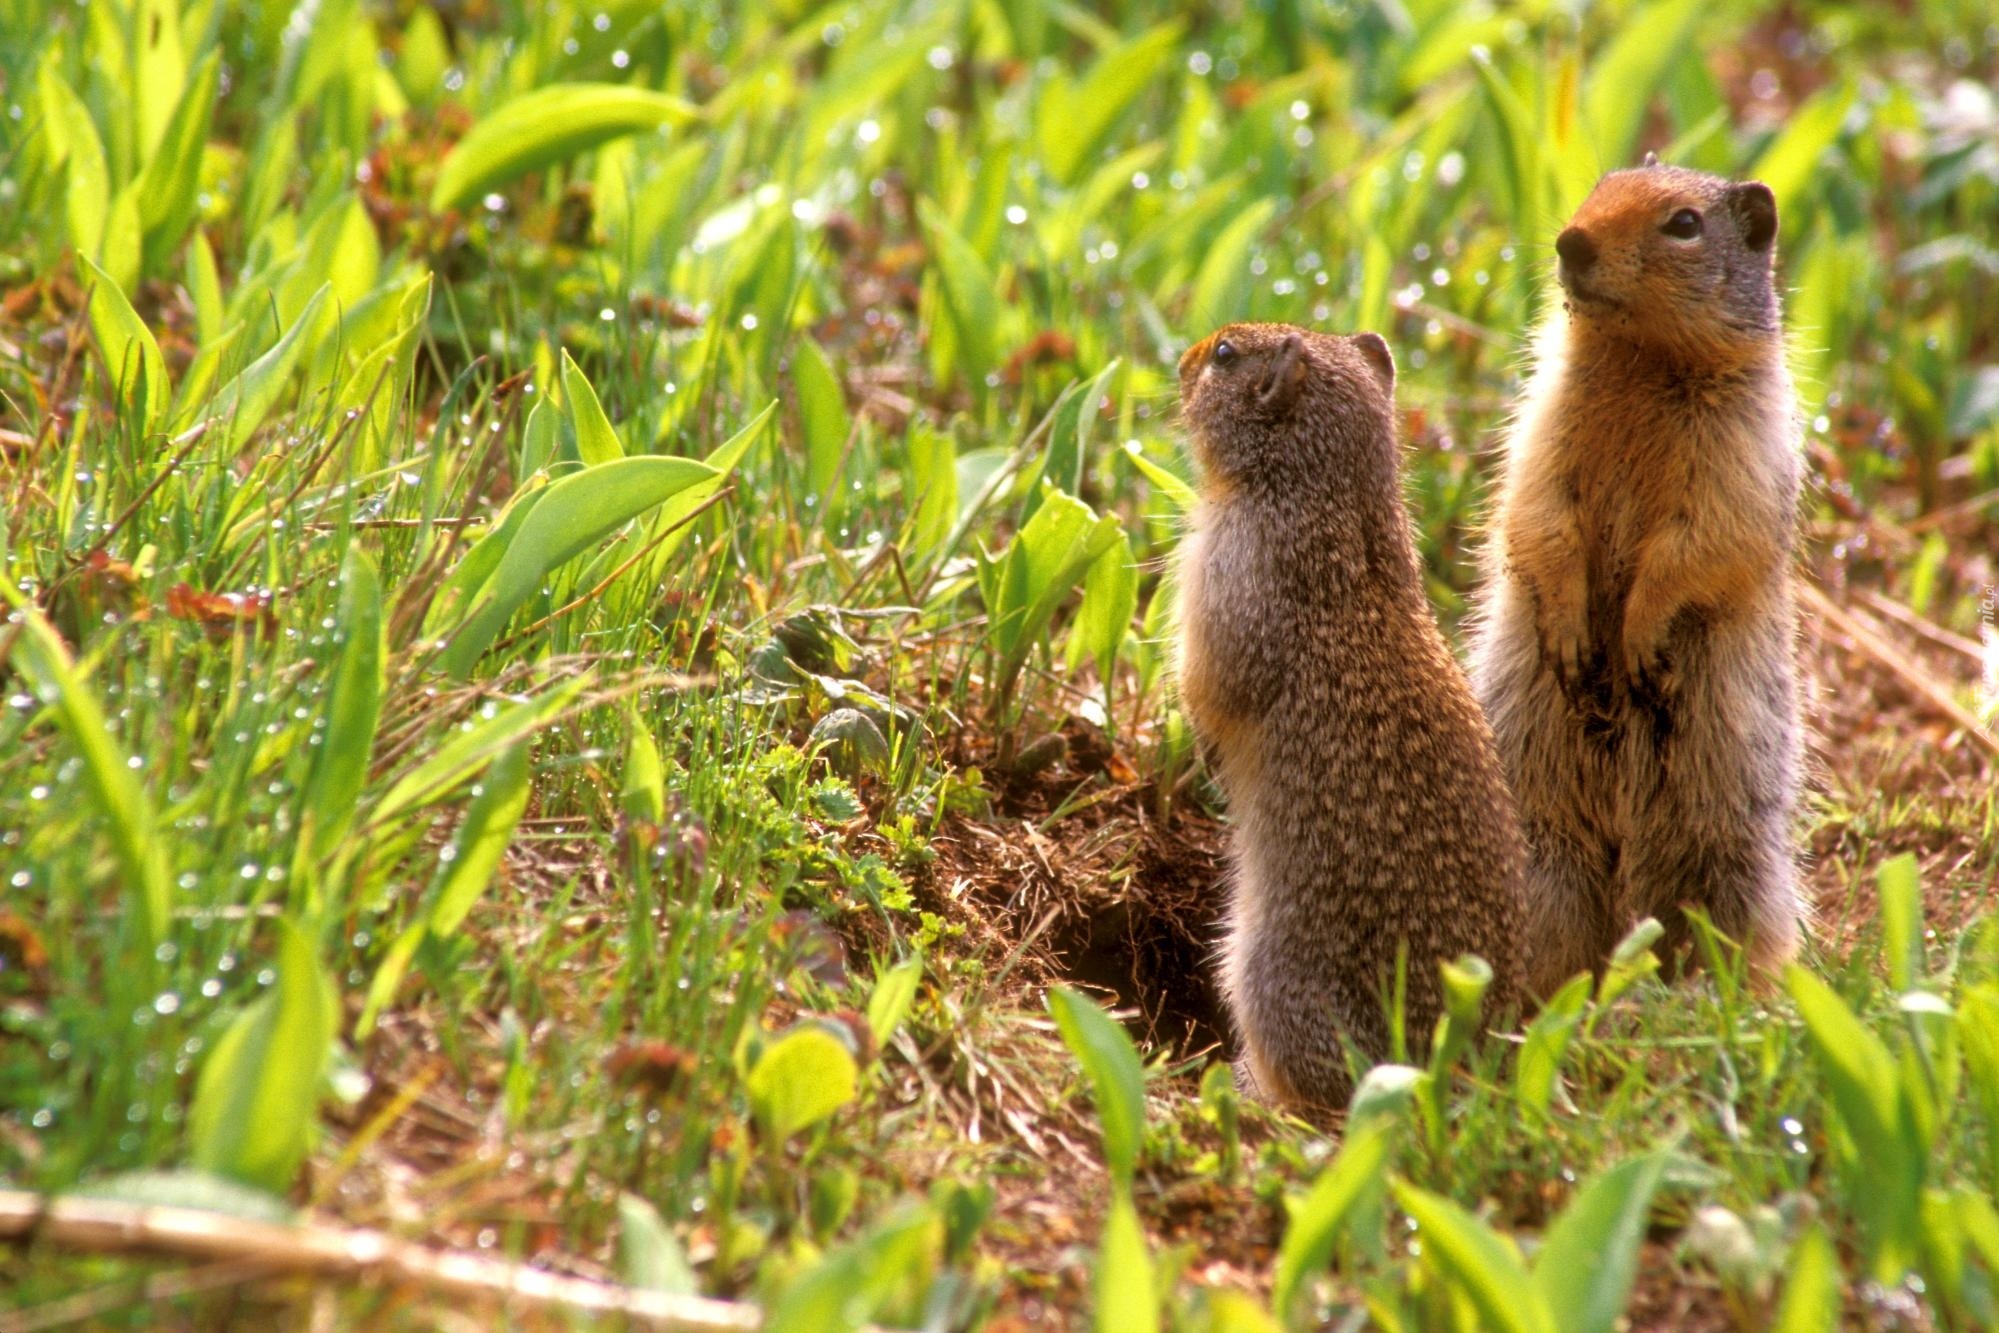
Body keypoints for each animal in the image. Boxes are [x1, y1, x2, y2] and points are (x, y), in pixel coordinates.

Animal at [1175, 325, 1519, 1119]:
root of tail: (1456, 1070)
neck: (1330, 490)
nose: (1180, 361)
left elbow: (1210, 687)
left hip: (1267, 973)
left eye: (1225, 356)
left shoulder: (1227, 582)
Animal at [1471, 161, 1815, 995]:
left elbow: (1697, 544)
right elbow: (1536, 511)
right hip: (1540, 848)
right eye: (1600, 185)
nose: (1569, 241)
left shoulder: (1740, 448)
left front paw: (1637, 640)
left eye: (1684, 223)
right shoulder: (1543, 421)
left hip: (1731, 859)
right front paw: (1570, 635)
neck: (1639, 362)